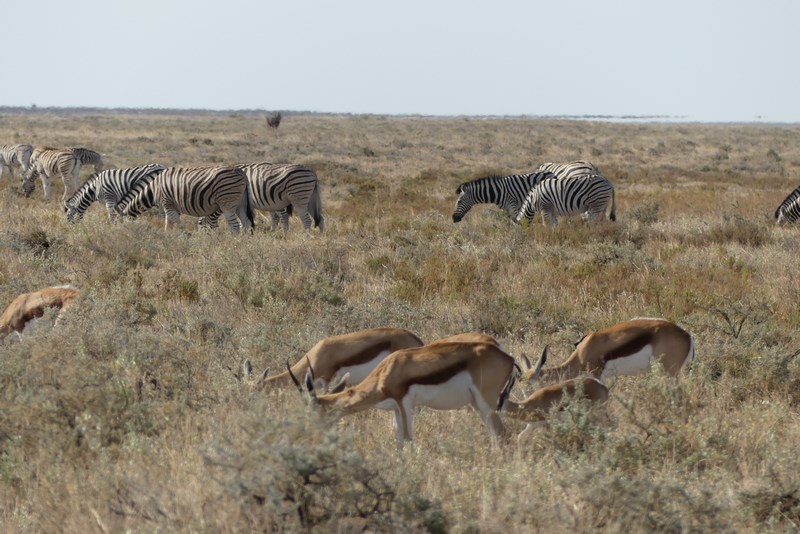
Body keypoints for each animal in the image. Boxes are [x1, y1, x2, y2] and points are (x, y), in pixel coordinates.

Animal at [119, 168, 253, 234]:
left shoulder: (167, 203)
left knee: (235, 226)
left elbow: (176, 224)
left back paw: (234, 244)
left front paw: (184, 238)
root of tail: (242, 173)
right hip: (240, 203)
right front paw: (169, 237)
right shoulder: (172, 206)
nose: (124, 234)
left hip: (227, 203)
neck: (153, 189)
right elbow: (169, 224)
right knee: (247, 224)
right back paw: (245, 245)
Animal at [290, 342, 516, 450]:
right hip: (478, 405)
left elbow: (408, 439)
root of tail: (509, 359)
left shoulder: (404, 403)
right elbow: (398, 440)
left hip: (487, 402)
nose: (309, 437)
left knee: (502, 434)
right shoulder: (396, 409)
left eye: (314, 413)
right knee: (495, 435)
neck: (386, 372)